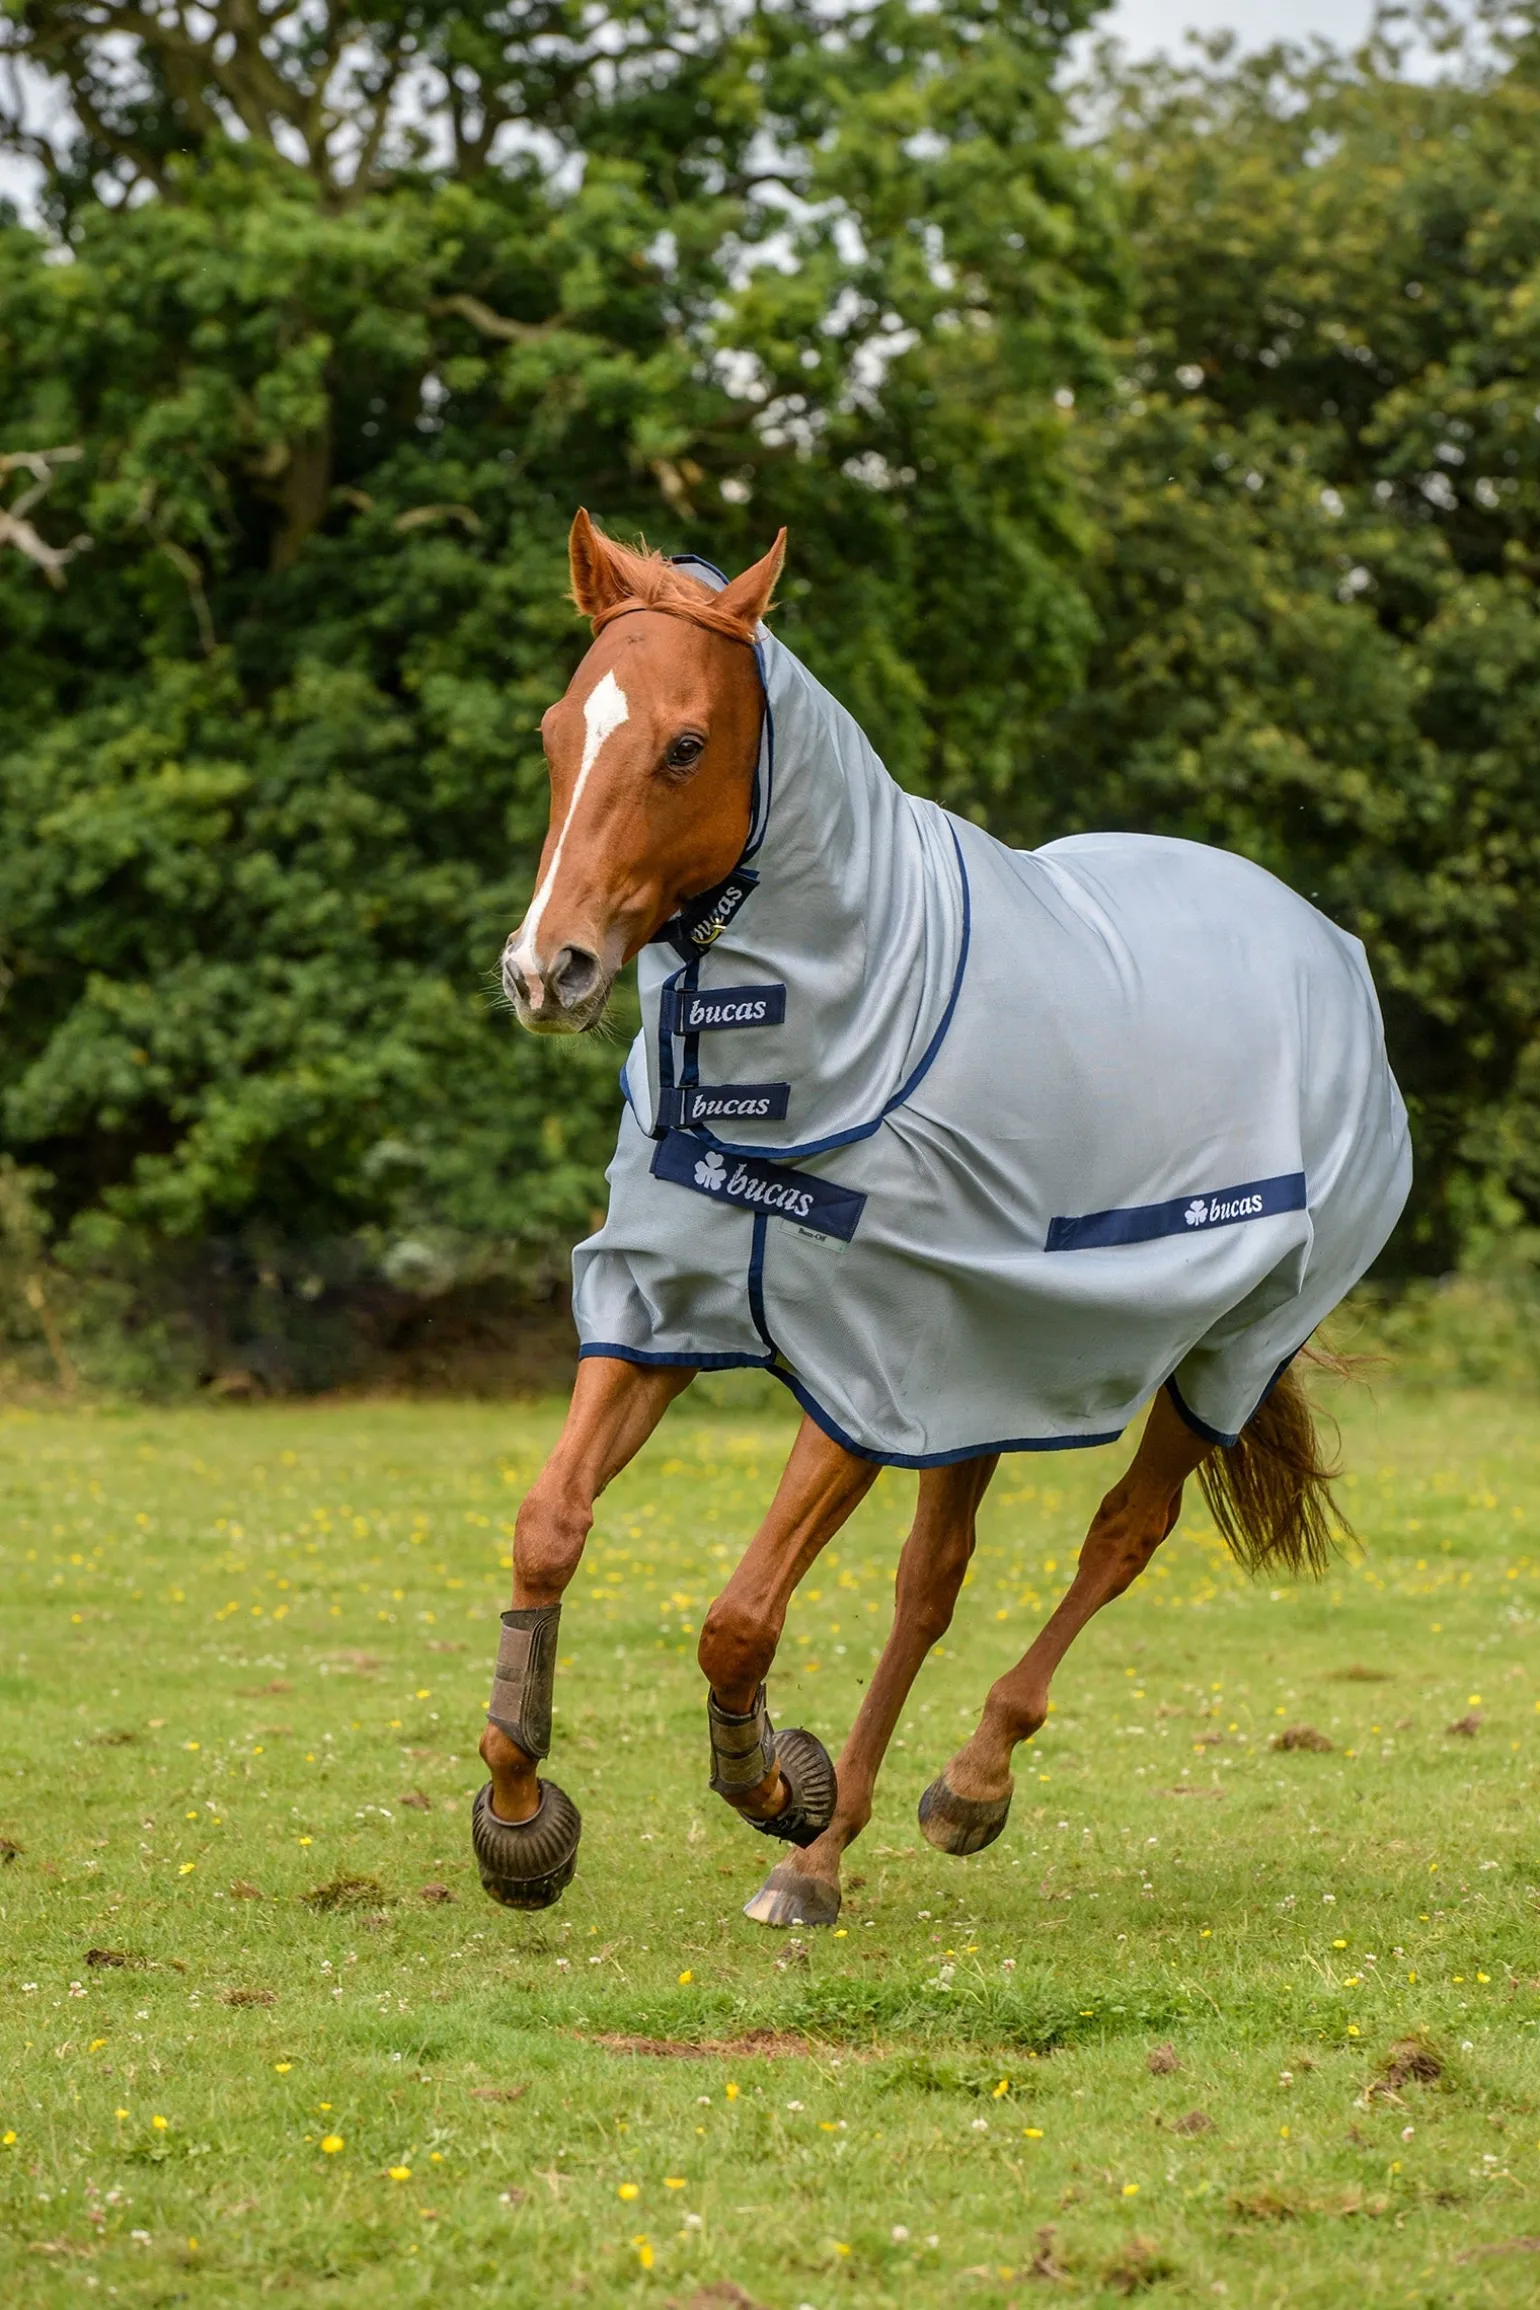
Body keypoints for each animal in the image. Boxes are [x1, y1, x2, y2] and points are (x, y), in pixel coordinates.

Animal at [471, 511, 1412, 1928]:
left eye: (685, 744)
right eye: (552, 732)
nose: (548, 970)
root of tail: (1327, 949)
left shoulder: (864, 1369)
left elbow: (737, 1618)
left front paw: (769, 1779)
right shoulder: (660, 1317)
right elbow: (548, 1529)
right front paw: (521, 1815)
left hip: (1219, 1353)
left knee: (1120, 1538)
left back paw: (962, 1788)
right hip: (985, 1372)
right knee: (932, 1582)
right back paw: (819, 1863)